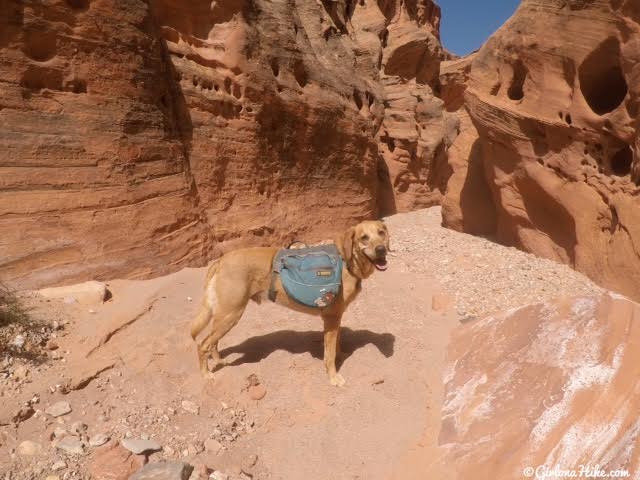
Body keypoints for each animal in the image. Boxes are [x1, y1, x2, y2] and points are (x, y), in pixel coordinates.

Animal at [190, 221, 390, 386]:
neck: (347, 263)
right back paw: (206, 374)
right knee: (203, 344)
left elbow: (336, 343)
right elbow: (329, 353)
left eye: (381, 233)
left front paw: (341, 355)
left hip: (224, 315)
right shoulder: (331, 318)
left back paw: (219, 361)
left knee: (213, 342)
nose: (381, 249)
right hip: (231, 314)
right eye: (364, 237)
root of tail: (221, 261)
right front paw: (333, 377)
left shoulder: (336, 317)